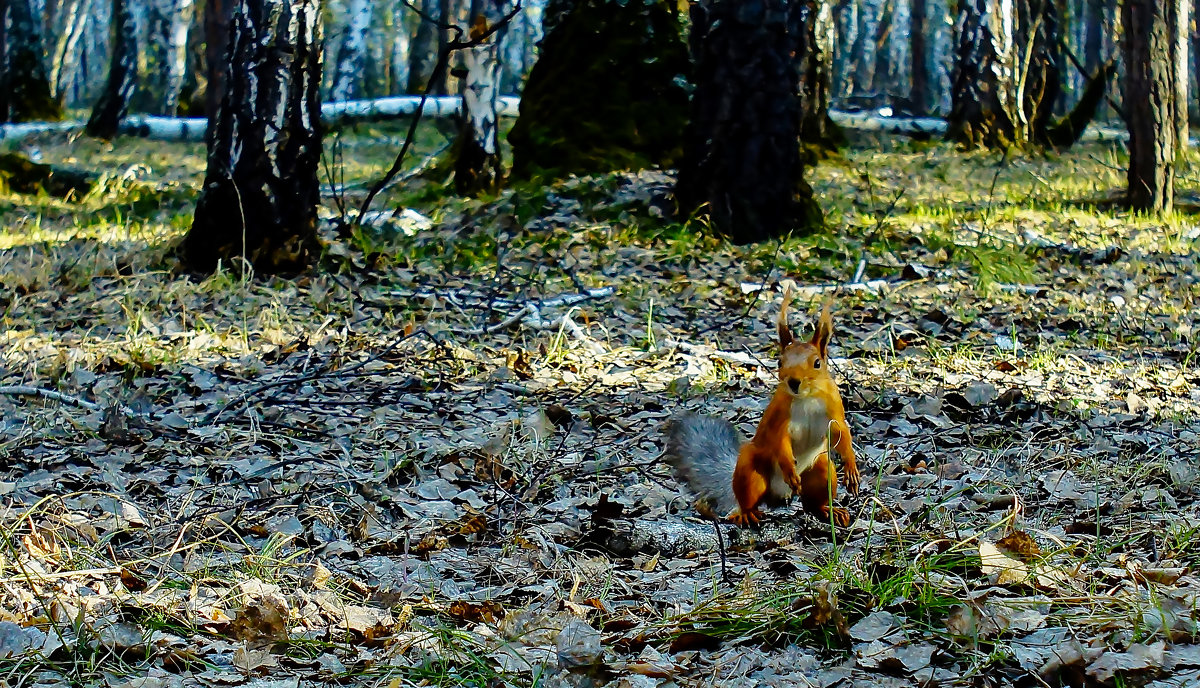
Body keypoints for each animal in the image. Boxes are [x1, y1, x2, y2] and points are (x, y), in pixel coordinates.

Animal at [667, 284, 864, 525]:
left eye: (817, 363)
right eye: (779, 361)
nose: (793, 382)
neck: (806, 398)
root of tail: (778, 496)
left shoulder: (834, 410)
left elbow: (842, 435)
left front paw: (851, 468)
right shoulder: (779, 418)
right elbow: (779, 441)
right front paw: (789, 469)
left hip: (822, 469)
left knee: (811, 503)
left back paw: (828, 509)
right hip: (749, 469)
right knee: (748, 498)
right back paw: (747, 513)